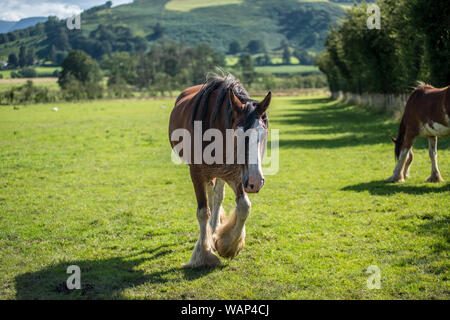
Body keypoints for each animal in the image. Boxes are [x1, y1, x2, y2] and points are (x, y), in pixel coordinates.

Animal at [169, 74, 272, 268]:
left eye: (264, 133)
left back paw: (215, 228)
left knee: (217, 197)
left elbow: (244, 206)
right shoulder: (197, 174)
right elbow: (203, 212)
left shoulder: (237, 175)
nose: (256, 182)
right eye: (238, 134)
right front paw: (204, 254)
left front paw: (227, 245)